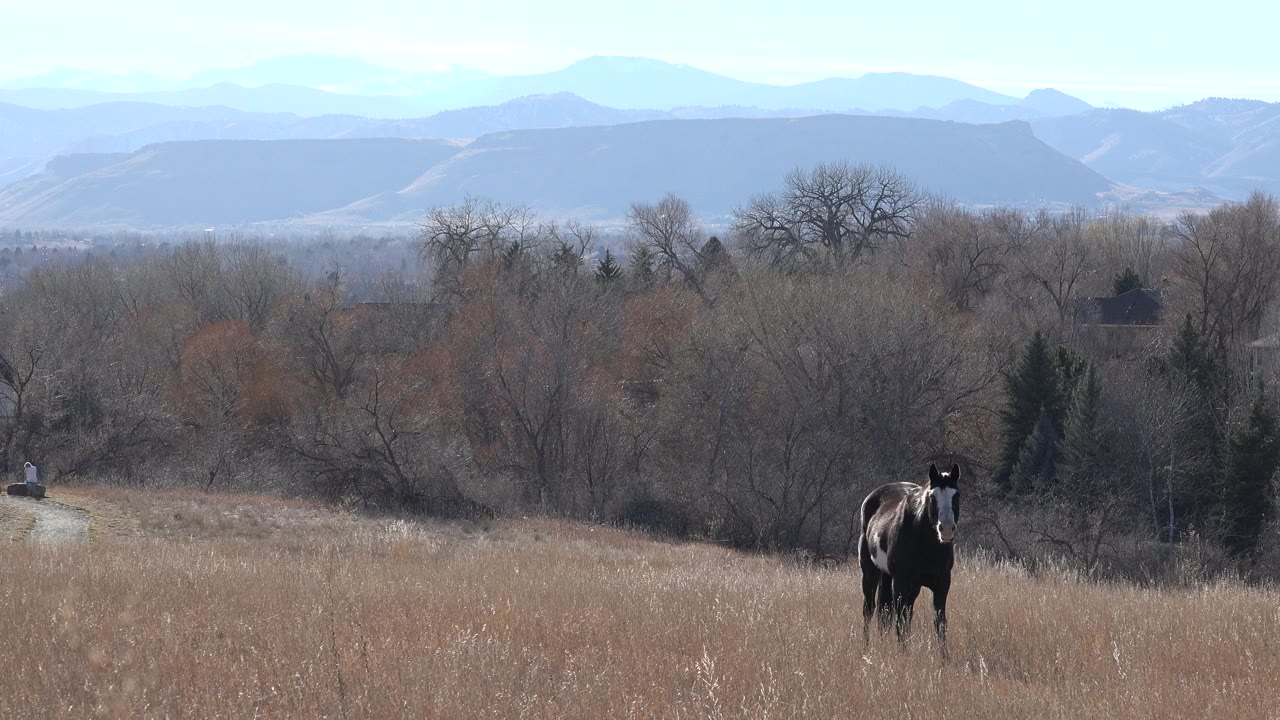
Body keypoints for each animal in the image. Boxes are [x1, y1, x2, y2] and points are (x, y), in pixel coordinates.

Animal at [858, 463, 960, 655]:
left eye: (956, 495)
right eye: (933, 496)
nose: (946, 529)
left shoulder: (942, 584)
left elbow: (940, 623)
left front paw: (944, 657)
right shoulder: (900, 583)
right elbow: (901, 622)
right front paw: (903, 653)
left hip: (897, 581)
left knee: (886, 613)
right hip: (871, 574)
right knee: (869, 610)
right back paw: (866, 647)